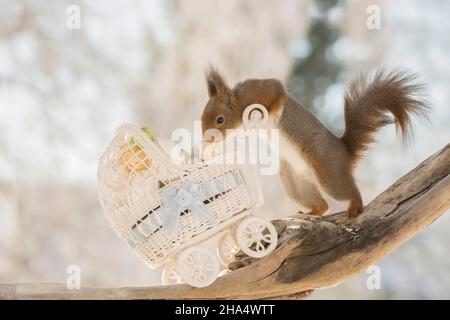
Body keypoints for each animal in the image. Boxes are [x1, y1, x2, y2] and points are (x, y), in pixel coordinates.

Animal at [200, 67, 428, 218]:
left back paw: (355, 204)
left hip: (328, 173)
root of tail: (344, 152)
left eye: (220, 120)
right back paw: (312, 211)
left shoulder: (258, 91)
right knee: (324, 205)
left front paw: (272, 113)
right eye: (202, 118)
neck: (239, 104)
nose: (206, 138)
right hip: (293, 180)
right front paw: (208, 150)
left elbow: (276, 90)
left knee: (347, 192)